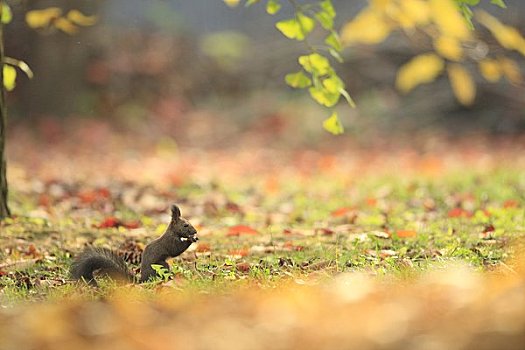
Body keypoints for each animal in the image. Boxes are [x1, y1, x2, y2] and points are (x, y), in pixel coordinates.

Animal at [70, 205, 198, 284]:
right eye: (185, 225)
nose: (195, 231)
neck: (173, 232)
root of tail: (143, 279)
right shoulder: (170, 241)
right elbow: (176, 250)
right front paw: (191, 240)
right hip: (161, 265)